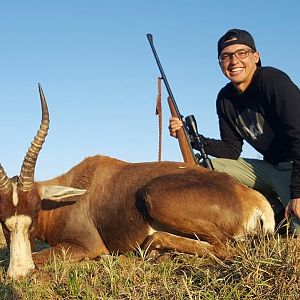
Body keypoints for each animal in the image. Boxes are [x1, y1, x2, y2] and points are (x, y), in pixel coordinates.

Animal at [0, 84, 276, 278]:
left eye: (34, 216)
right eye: (3, 221)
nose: (18, 273)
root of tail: (254, 201)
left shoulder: (87, 246)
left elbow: (42, 257)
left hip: (154, 197)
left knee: (223, 248)